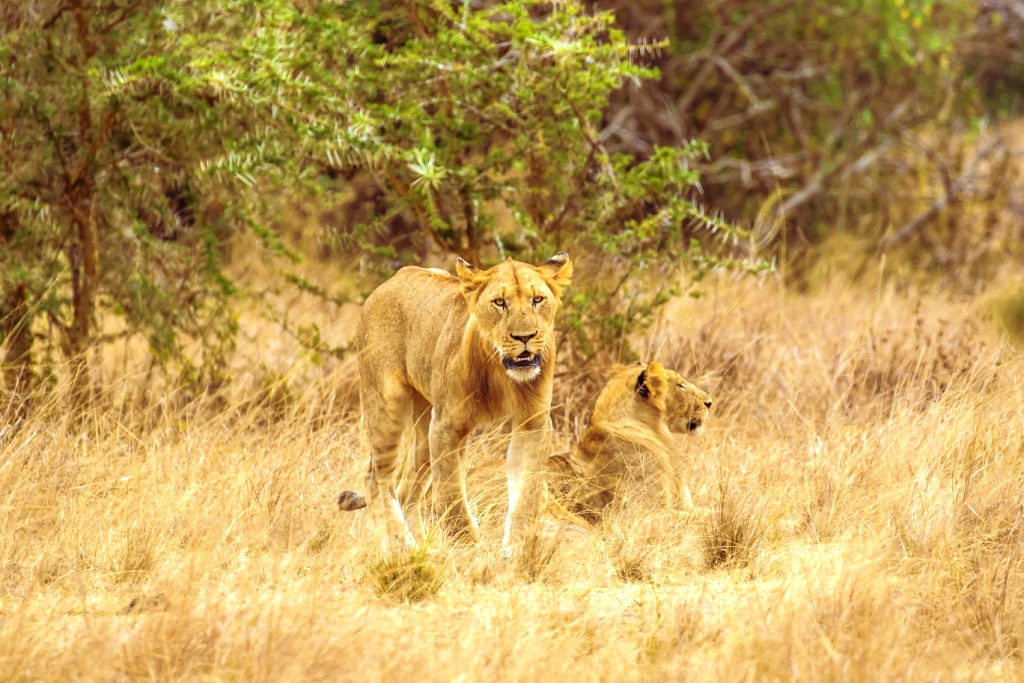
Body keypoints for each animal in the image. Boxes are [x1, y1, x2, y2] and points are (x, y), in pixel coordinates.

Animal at [337, 360, 712, 528]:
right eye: (681, 385)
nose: (709, 402)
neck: (653, 431)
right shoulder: (643, 511)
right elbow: (696, 515)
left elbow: (701, 508)